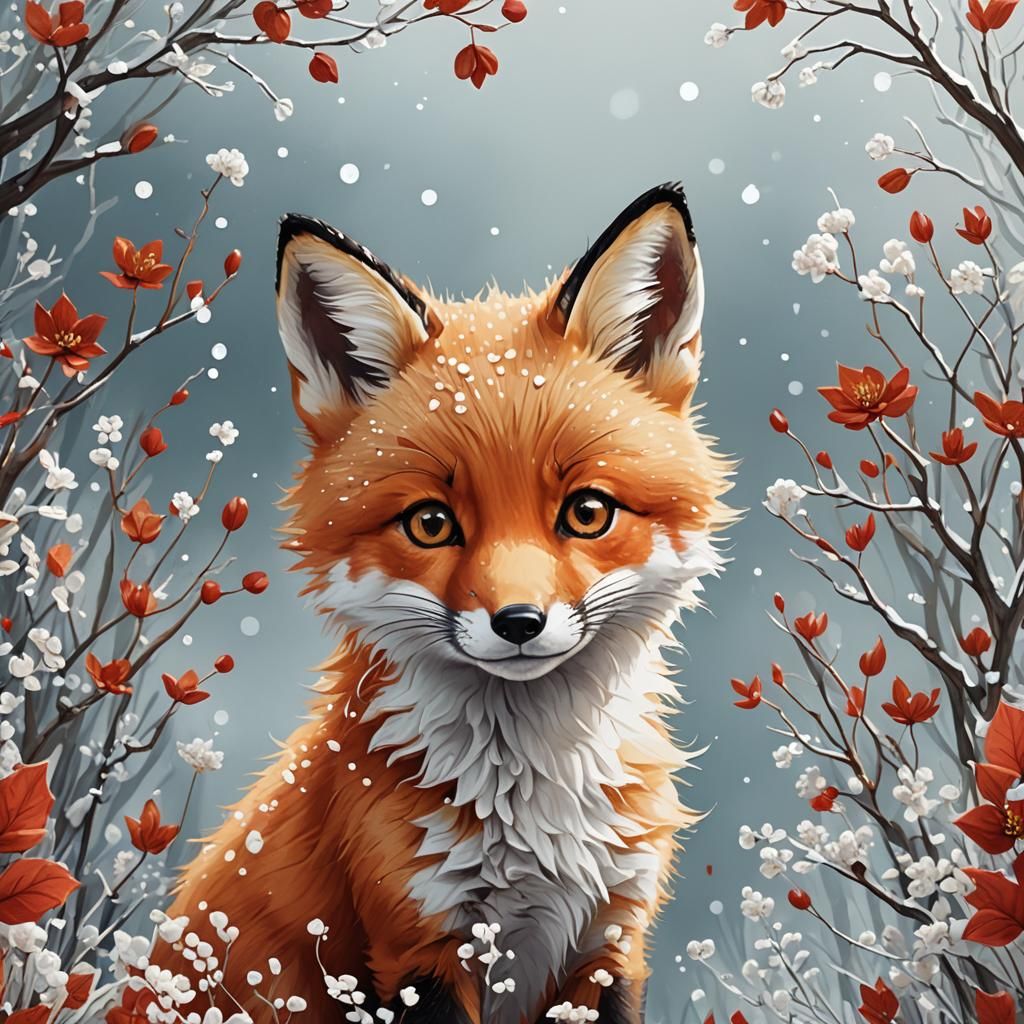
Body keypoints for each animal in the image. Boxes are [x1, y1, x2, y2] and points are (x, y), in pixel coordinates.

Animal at [154, 182, 734, 1024]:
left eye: (588, 513)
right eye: (431, 524)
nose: (520, 624)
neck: (534, 814)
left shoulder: (611, 945)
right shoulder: (417, 945)